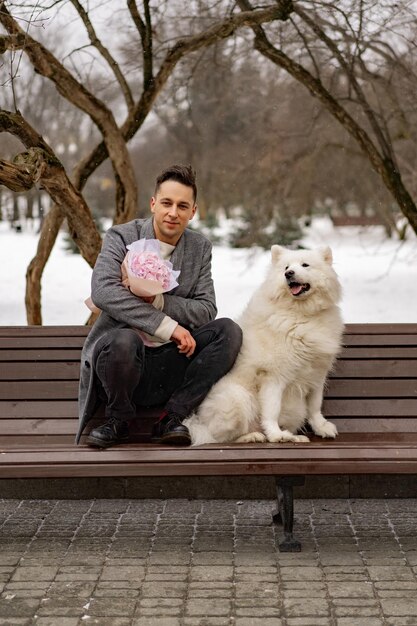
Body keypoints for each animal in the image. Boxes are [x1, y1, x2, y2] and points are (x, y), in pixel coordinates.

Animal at [184, 244, 342, 444]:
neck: (301, 313)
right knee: (220, 437)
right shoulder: (274, 376)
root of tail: (200, 422)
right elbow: (272, 410)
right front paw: (275, 435)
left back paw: (294, 437)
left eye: (305, 265)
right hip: (238, 398)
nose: (289, 274)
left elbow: (315, 406)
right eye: (286, 267)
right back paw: (254, 436)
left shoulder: (317, 375)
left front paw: (321, 427)